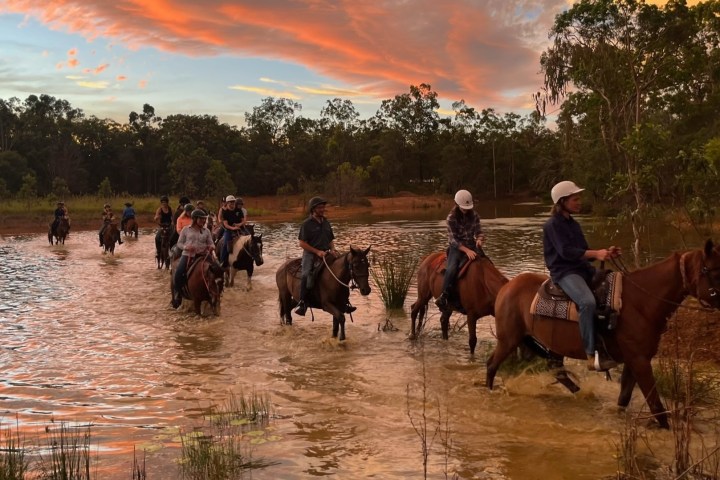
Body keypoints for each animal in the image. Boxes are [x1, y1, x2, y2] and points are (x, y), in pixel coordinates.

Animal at [484, 240, 720, 428]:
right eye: (713, 270)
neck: (640, 302)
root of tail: (507, 287)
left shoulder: (635, 360)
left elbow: (624, 398)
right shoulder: (640, 361)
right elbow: (656, 406)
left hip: (552, 345)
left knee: (557, 371)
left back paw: (583, 395)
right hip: (508, 340)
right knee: (492, 365)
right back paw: (488, 392)